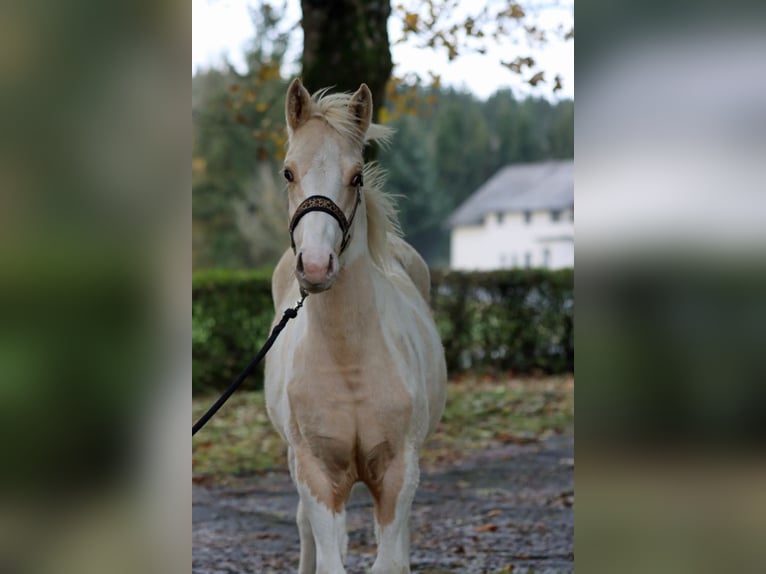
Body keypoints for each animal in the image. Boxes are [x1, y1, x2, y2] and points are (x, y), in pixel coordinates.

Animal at [264, 77, 448, 574]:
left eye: (357, 177)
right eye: (288, 172)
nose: (315, 265)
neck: (349, 362)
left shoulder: (398, 471)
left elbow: (389, 560)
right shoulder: (316, 473)